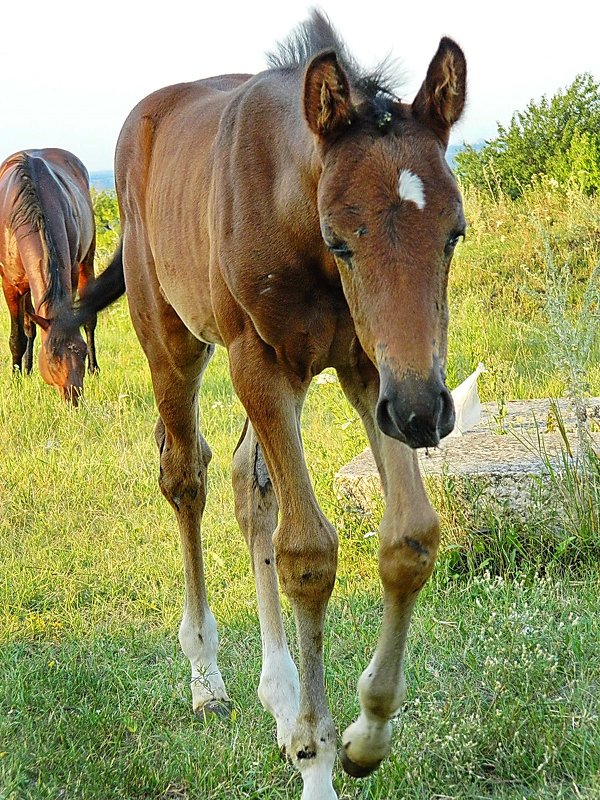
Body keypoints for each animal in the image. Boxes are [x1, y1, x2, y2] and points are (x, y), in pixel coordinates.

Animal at [0, 148, 98, 404]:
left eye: (82, 353)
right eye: (52, 357)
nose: (74, 399)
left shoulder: (71, 273)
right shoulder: (10, 286)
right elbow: (18, 335)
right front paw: (16, 378)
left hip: (87, 263)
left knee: (90, 321)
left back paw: (96, 369)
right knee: (28, 327)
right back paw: (26, 368)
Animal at [58, 14, 466, 800]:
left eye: (454, 234)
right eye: (341, 239)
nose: (425, 414)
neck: (291, 205)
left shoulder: (370, 369)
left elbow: (410, 536)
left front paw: (366, 735)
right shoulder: (262, 362)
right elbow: (307, 553)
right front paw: (318, 757)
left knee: (251, 483)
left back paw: (278, 696)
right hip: (172, 341)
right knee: (186, 475)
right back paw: (207, 678)